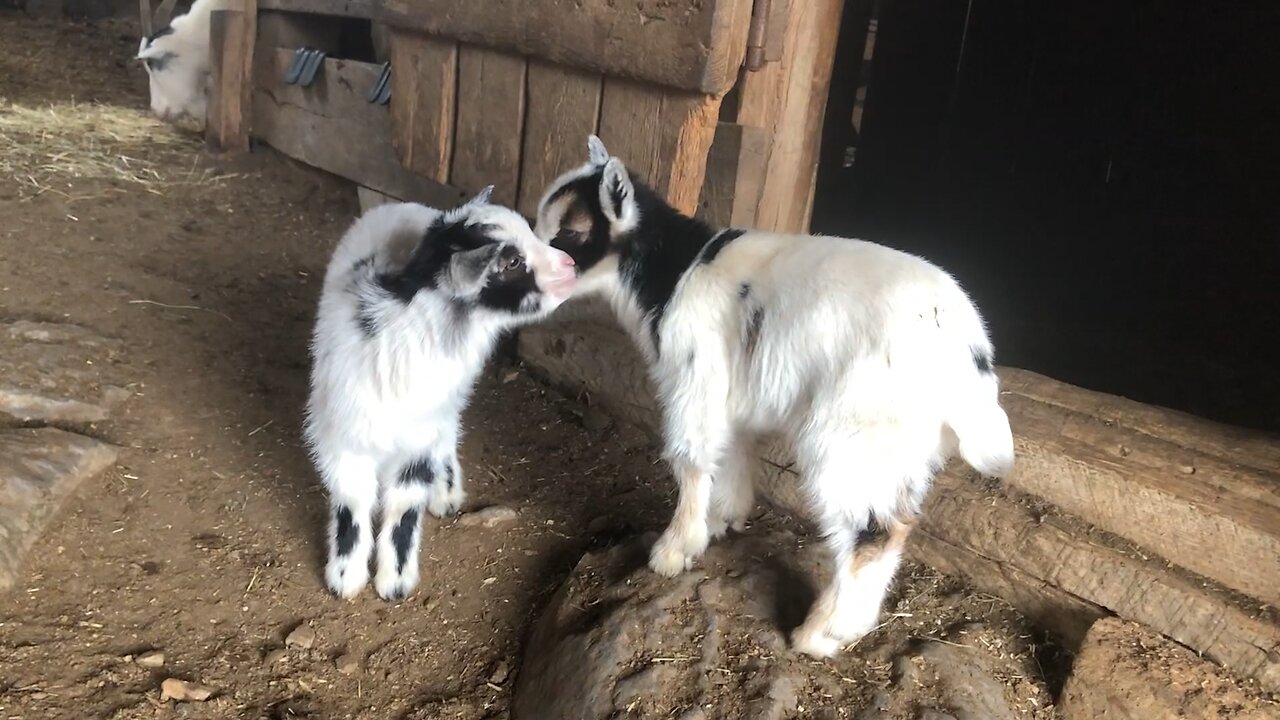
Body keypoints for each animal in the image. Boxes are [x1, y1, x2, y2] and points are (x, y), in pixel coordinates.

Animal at [304, 188, 576, 597]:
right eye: (511, 262)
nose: (571, 265)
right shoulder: (343, 436)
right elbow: (353, 500)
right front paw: (345, 576)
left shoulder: (418, 437)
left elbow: (403, 506)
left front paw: (395, 580)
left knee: (448, 429)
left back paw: (445, 489)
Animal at [535, 134, 1013, 655]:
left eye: (568, 234)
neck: (675, 273)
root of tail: (968, 354)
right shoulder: (732, 392)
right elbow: (731, 450)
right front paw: (723, 519)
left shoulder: (695, 378)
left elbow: (690, 457)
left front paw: (675, 548)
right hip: (901, 446)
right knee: (897, 523)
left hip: (854, 431)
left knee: (871, 529)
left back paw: (821, 632)